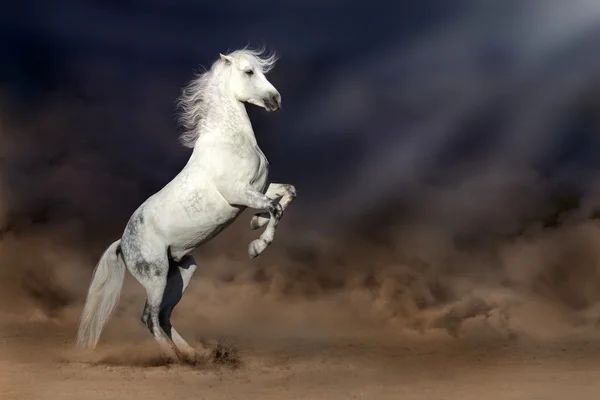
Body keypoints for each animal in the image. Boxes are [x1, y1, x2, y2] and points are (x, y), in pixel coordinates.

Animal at [75, 47, 298, 362]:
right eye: (249, 72)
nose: (275, 100)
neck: (229, 142)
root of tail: (122, 243)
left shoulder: (259, 188)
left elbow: (287, 194)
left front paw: (256, 222)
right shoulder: (239, 193)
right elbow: (275, 208)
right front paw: (256, 247)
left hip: (182, 271)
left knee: (164, 316)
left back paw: (193, 355)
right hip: (155, 276)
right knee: (149, 317)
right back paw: (173, 357)